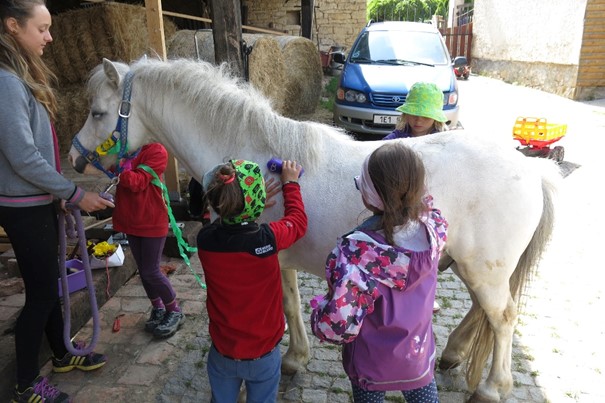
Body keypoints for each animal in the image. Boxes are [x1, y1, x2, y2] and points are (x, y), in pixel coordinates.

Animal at [68, 57, 560, 403]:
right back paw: (453, 354)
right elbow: (292, 304)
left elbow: (284, 308)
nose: (73, 159)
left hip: (484, 269)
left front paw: (288, 360)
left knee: (503, 317)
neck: (253, 157)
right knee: (484, 312)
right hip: (471, 266)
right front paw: (297, 358)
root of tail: (530, 170)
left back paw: (493, 387)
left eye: (98, 112)